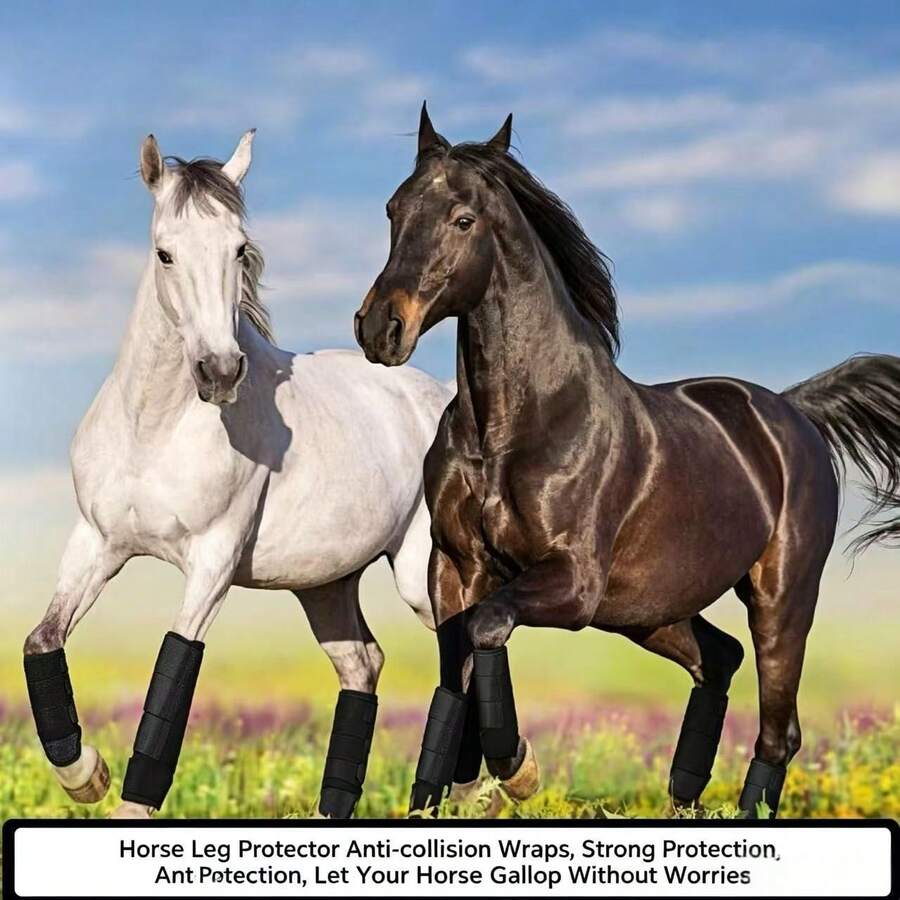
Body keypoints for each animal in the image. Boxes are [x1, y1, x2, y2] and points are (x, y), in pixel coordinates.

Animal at [22, 131, 451, 820]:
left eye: (240, 249)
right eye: (165, 252)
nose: (220, 372)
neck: (154, 430)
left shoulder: (213, 562)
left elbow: (172, 673)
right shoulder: (96, 543)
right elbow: (42, 641)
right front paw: (86, 776)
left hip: (420, 576)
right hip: (325, 587)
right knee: (363, 666)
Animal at [354, 103, 900, 818]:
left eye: (463, 219)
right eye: (394, 209)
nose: (380, 328)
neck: (513, 428)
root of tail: (792, 412)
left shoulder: (572, 582)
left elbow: (488, 628)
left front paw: (517, 768)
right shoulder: (457, 570)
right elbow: (457, 667)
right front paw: (457, 788)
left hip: (779, 598)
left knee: (779, 733)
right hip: (646, 611)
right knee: (719, 659)